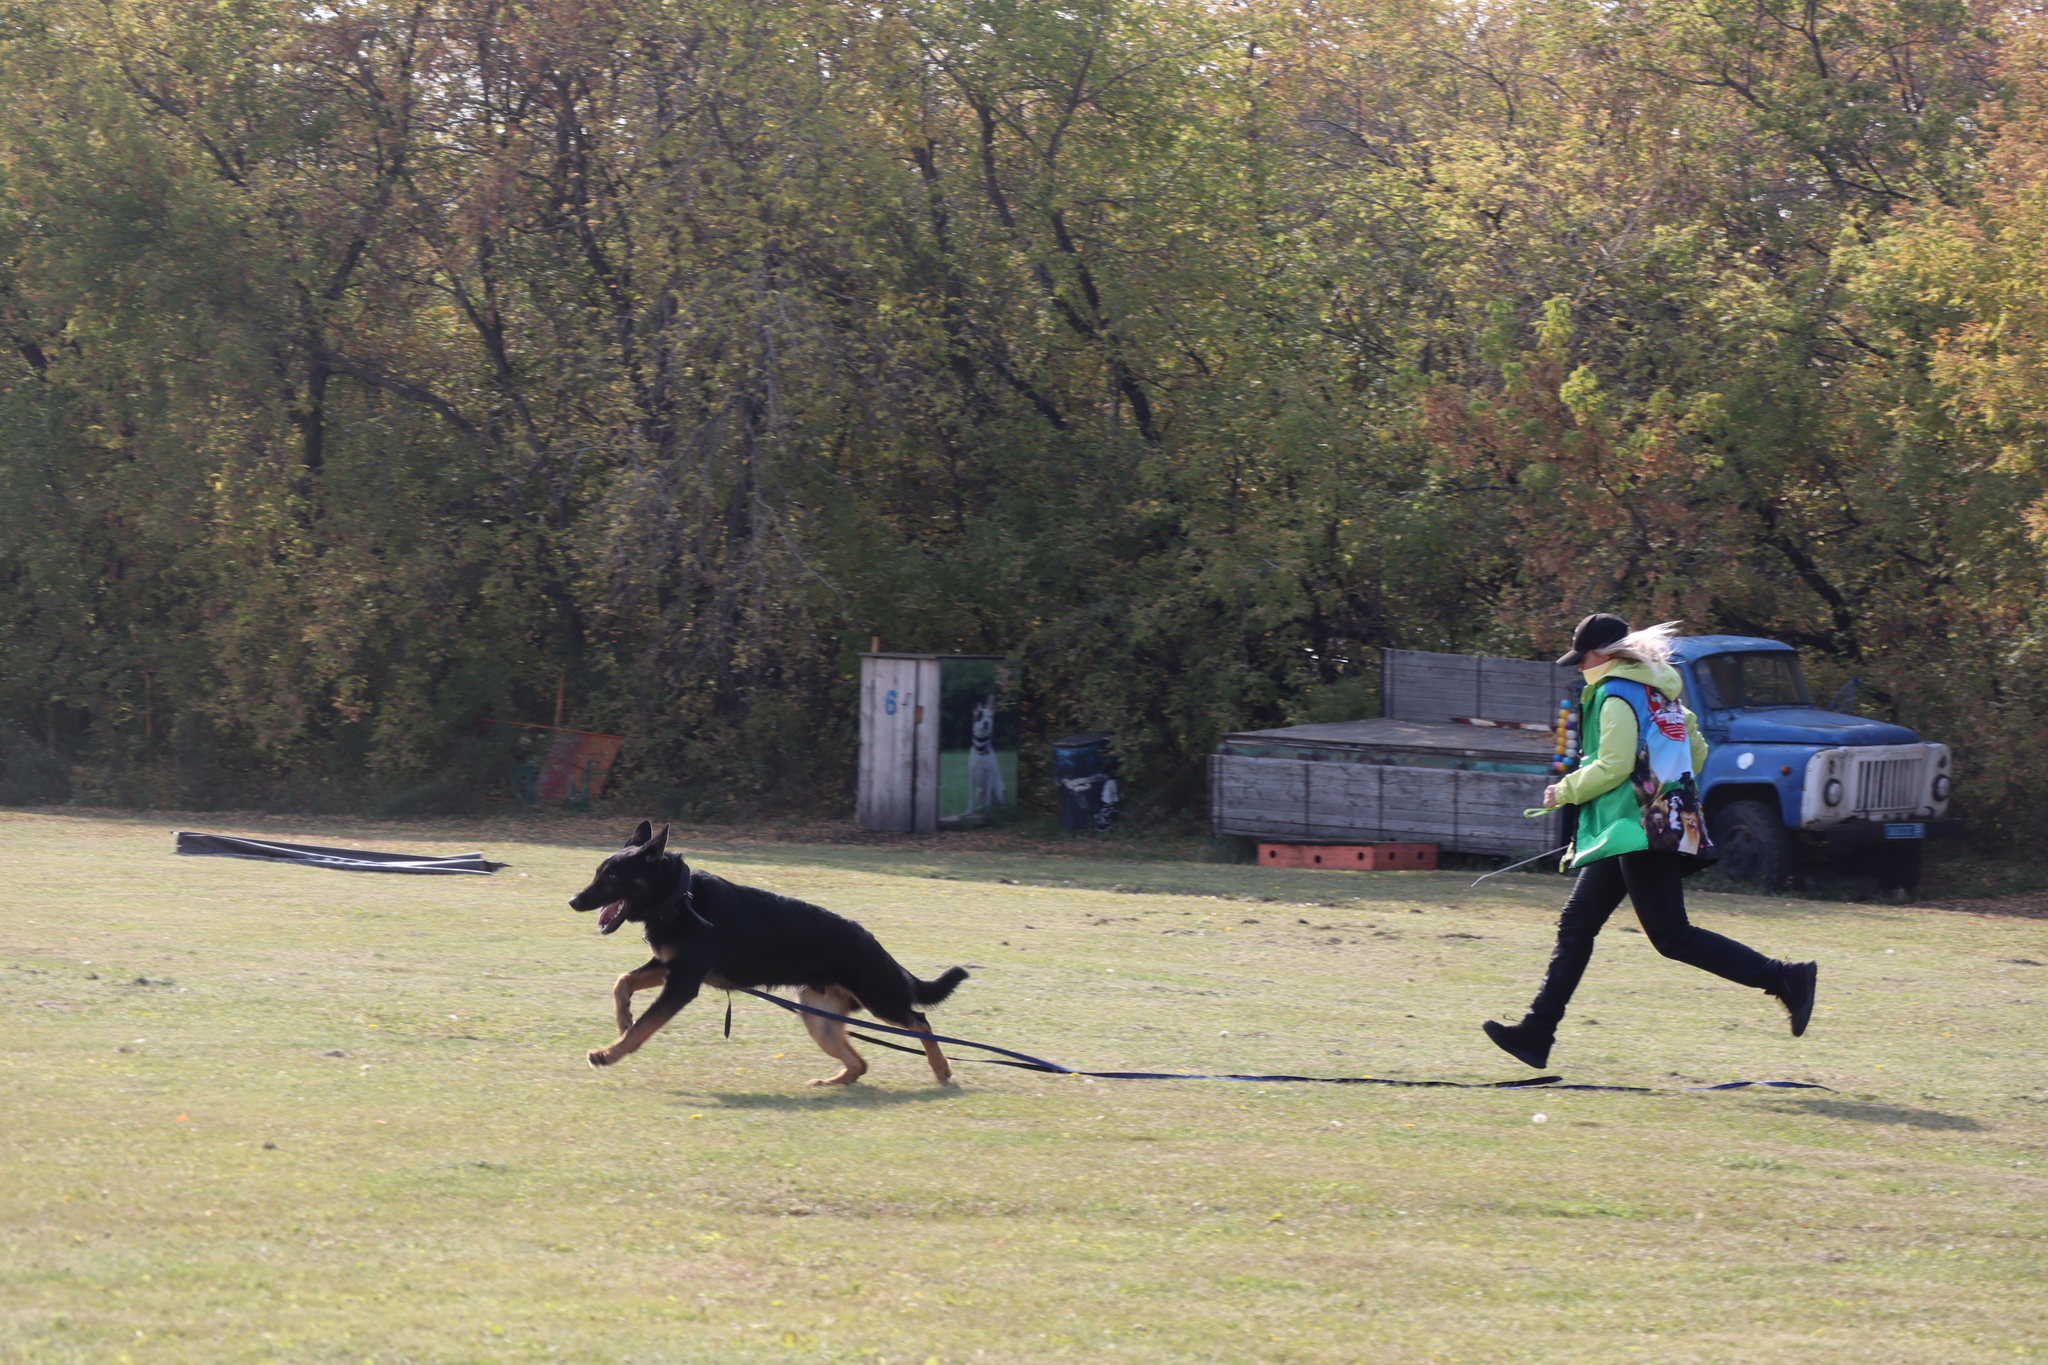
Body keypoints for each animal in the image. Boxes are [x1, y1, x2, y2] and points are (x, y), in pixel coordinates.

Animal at [565, 822, 970, 1088]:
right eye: (599, 872)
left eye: (612, 877)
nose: (573, 901)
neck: (681, 899)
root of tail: (875, 944)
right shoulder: (669, 968)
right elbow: (622, 983)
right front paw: (623, 1018)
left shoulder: (682, 983)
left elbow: (644, 1027)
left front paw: (610, 1052)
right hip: (819, 1019)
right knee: (861, 1062)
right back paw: (834, 1082)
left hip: (879, 1000)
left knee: (921, 1022)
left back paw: (941, 1069)